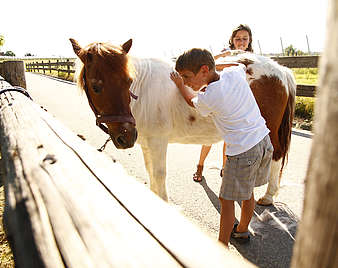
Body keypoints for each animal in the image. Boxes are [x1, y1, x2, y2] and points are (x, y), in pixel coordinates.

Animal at [69, 38, 296, 205]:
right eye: (96, 86)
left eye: (129, 82)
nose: (125, 137)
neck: (143, 93)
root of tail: (281, 71)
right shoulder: (146, 144)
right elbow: (150, 172)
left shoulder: (158, 142)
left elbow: (159, 174)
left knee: (276, 156)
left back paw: (268, 196)